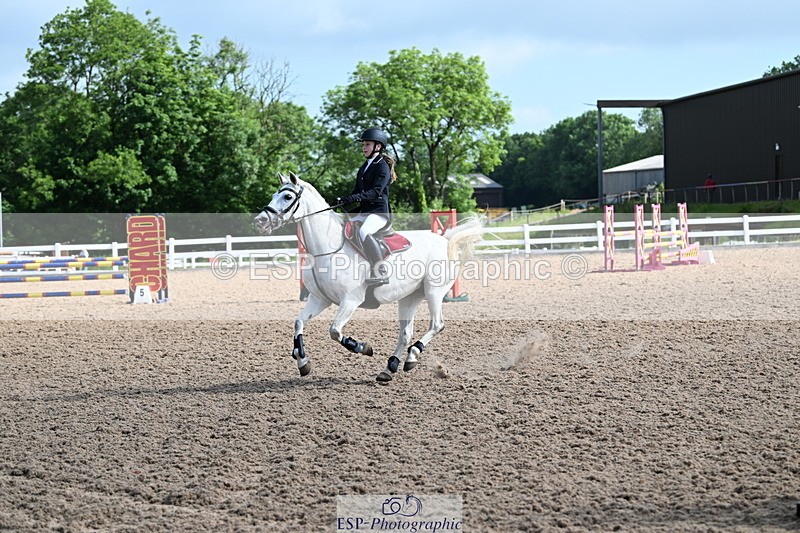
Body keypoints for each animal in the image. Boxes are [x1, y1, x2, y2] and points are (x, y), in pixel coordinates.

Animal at [253, 172, 484, 383]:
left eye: (287, 197)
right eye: (275, 194)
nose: (260, 221)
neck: (326, 249)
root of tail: (445, 240)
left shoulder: (350, 300)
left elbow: (334, 331)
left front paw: (364, 347)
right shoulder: (320, 299)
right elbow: (299, 322)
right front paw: (302, 361)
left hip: (433, 291)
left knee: (436, 325)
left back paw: (412, 355)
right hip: (410, 297)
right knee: (405, 334)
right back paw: (391, 367)